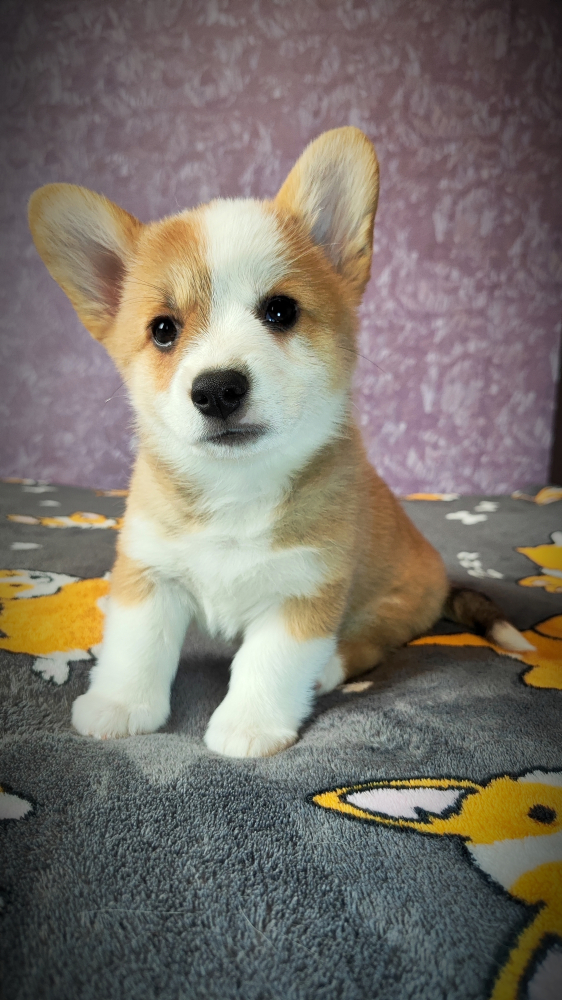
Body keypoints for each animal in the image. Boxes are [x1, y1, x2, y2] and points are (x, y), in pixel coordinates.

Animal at [28, 127, 533, 757]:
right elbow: (135, 648)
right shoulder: (149, 571)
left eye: (280, 310)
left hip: (396, 604)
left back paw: (329, 671)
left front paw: (249, 726)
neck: (236, 488)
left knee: (368, 642)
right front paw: (119, 706)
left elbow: (268, 665)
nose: (217, 390)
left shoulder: (304, 592)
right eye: (163, 330)